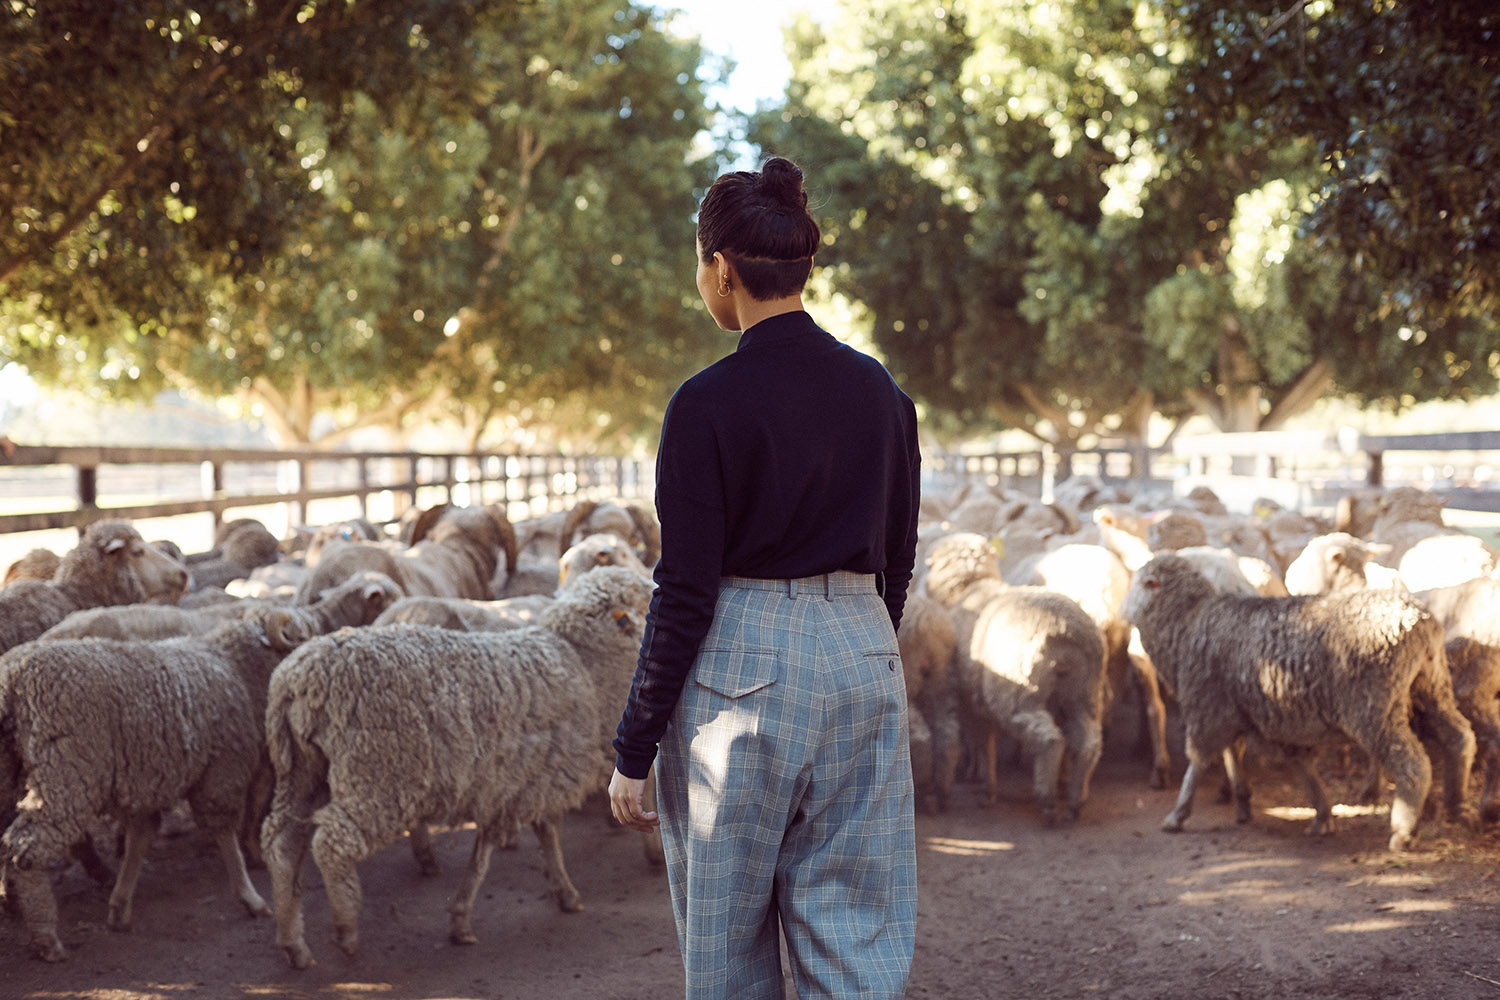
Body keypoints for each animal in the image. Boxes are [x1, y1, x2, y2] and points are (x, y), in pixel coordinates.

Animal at [0, 603, 347, 961]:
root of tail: (12, 678)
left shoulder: (148, 780)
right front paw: (249, 896)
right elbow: (225, 834)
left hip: (12, 773)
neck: (235, 666)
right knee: (24, 847)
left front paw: (120, 907)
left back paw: (17, 904)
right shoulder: (221, 770)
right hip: (65, 775)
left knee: (9, 840)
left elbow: (141, 837)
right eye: (303, 633)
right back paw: (46, 936)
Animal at [260, 565, 654, 968]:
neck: (582, 663)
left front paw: (465, 916)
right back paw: (345, 929)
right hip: (376, 774)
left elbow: (496, 846)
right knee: (331, 843)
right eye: (644, 604)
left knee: (281, 841)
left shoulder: (513, 781)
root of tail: (297, 680)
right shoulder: (541, 776)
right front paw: (562, 892)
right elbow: (539, 834)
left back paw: (292, 941)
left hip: (302, 771)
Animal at [922, 532, 1107, 825]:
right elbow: (984, 743)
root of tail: (1066, 631)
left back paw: (1047, 799)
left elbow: (983, 744)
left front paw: (987, 788)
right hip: (1085, 692)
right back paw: (1077, 799)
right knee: (1089, 741)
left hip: (1018, 692)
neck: (969, 588)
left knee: (1050, 740)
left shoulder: (970, 702)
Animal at [1122, 553, 1474, 852]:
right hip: (1432, 687)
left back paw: (1403, 830)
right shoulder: (1249, 711)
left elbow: (1198, 762)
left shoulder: (1207, 706)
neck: (1186, 624)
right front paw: (1293, 810)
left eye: (1141, 583)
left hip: (1375, 706)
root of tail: (1419, 620)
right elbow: (1274, 762)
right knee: (1460, 738)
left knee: (1413, 763)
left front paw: (1178, 814)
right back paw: (1457, 805)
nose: (1122, 613)